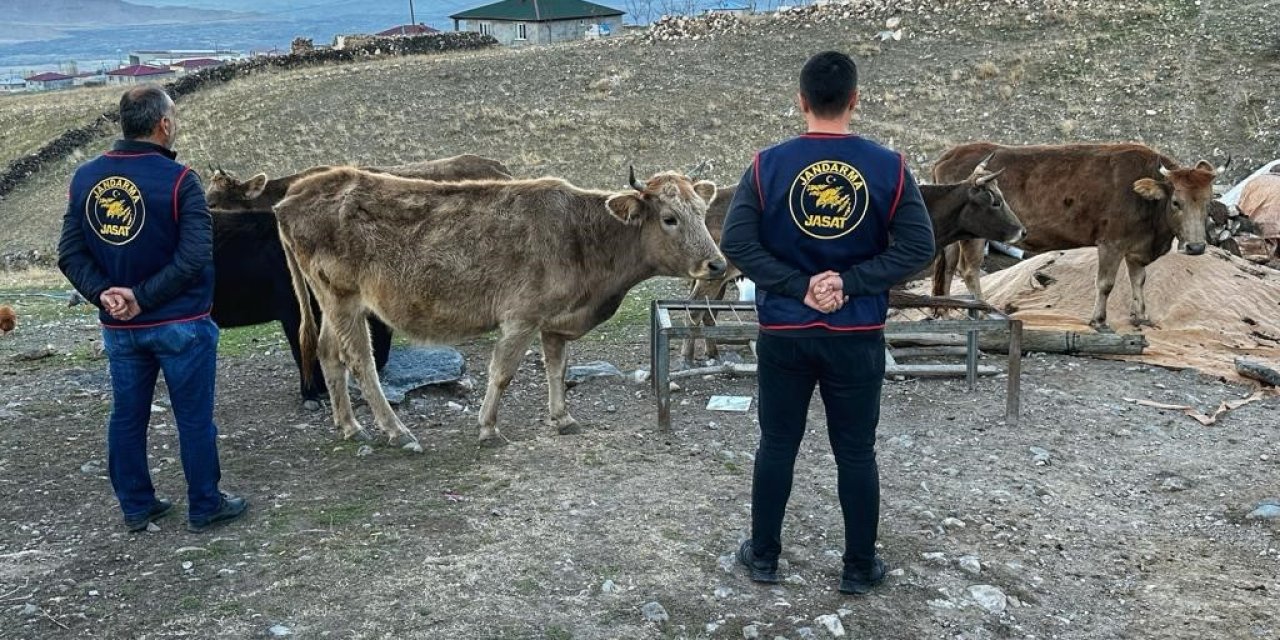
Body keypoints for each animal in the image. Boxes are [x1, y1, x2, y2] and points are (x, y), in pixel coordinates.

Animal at [275, 167, 727, 453]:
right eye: (668, 218)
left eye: (702, 212)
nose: (717, 264)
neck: (582, 237)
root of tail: (293, 196)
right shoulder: (520, 317)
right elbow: (503, 373)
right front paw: (488, 428)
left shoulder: (555, 320)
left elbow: (557, 368)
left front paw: (562, 418)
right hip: (342, 297)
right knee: (360, 361)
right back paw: (396, 431)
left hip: (333, 300)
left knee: (329, 353)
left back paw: (349, 426)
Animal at [680, 162, 1029, 363]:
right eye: (995, 201)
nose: (1021, 230)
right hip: (714, 276)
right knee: (694, 309)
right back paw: (689, 357)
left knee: (706, 311)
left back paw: (709, 353)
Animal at [936, 143, 1223, 332]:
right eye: (1176, 202)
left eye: (1208, 202)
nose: (1196, 246)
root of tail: (949, 155)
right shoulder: (1111, 243)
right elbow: (1106, 283)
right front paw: (1099, 321)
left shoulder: (1136, 247)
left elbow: (1139, 280)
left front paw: (1141, 316)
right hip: (975, 235)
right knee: (969, 270)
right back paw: (981, 314)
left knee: (948, 266)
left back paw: (944, 312)